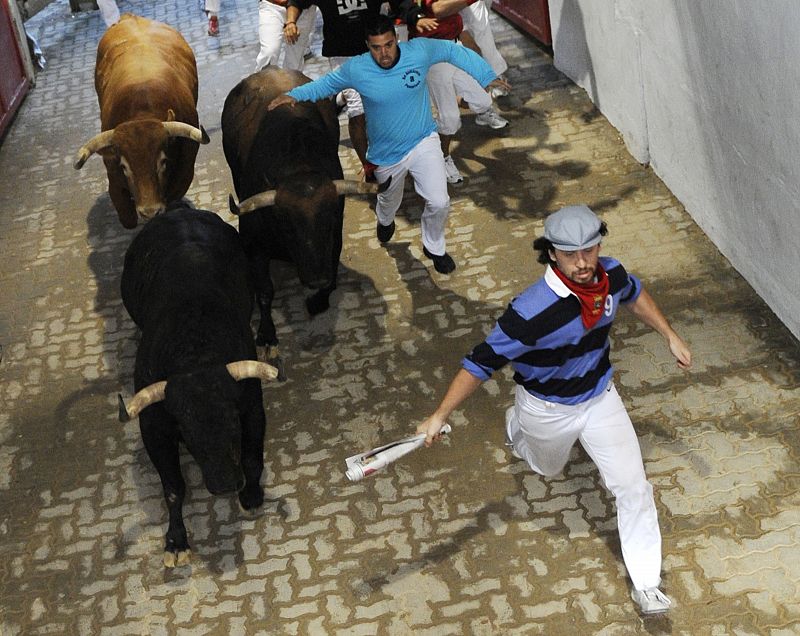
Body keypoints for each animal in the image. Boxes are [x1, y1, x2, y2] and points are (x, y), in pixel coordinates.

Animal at [73, 13, 208, 229]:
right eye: (124, 167)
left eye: (163, 161)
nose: (149, 211)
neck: (142, 111)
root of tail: (130, 17)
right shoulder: (113, 173)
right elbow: (126, 215)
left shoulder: (185, 170)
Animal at [119, 206, 278, 568]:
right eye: (187, 436)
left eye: (233, 422)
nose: (224, 484)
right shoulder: (155, 429)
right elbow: (173, 488)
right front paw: (176, 541)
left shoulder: (252, 407)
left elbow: (252, 457)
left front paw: (251, 495)